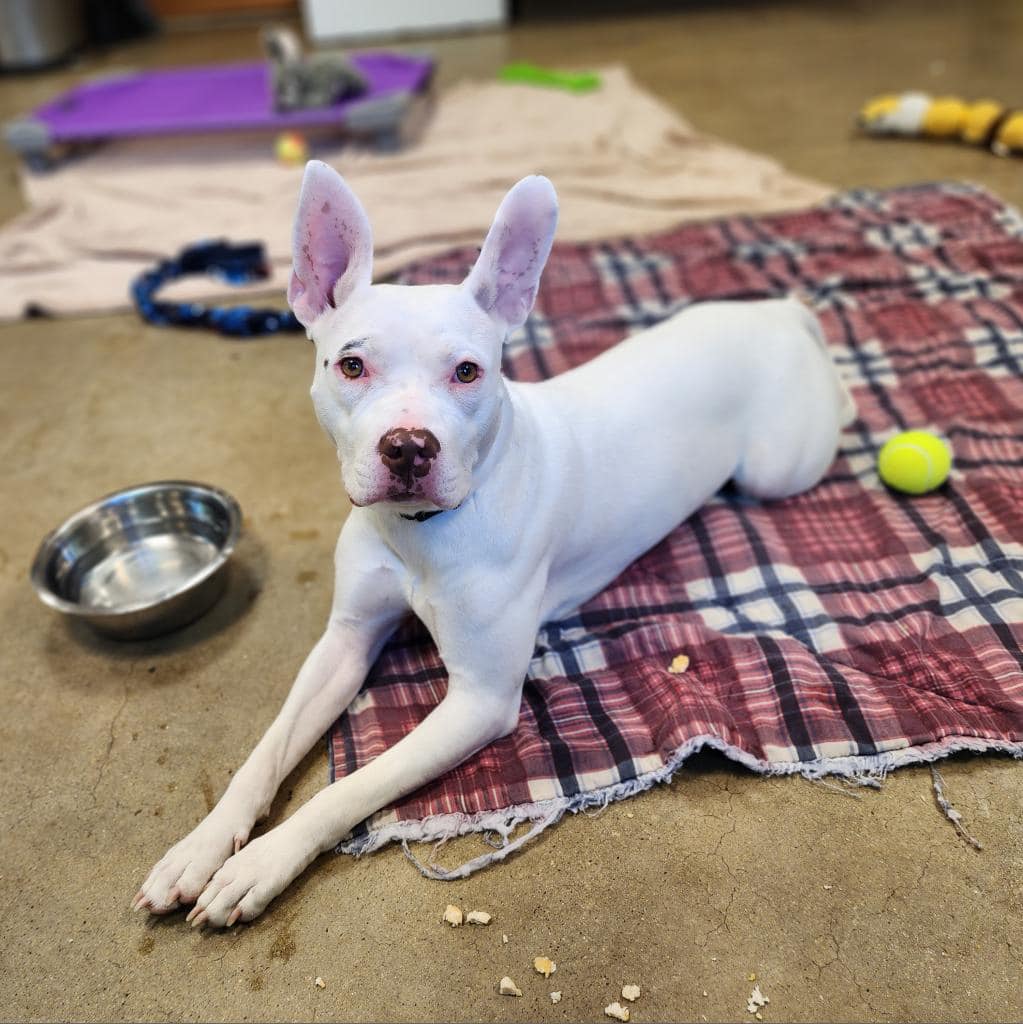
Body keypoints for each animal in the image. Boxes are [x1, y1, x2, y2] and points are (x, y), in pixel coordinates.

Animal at [136, 161, 856, 929]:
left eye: (466, 371)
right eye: (351, 366)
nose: (409, 447)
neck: (420, 530)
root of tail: (772, 313)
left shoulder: (479, 698)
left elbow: (348, 788)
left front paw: (259, 865)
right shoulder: (346, 640)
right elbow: (265, 752)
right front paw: (201, 847)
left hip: (777, 470)